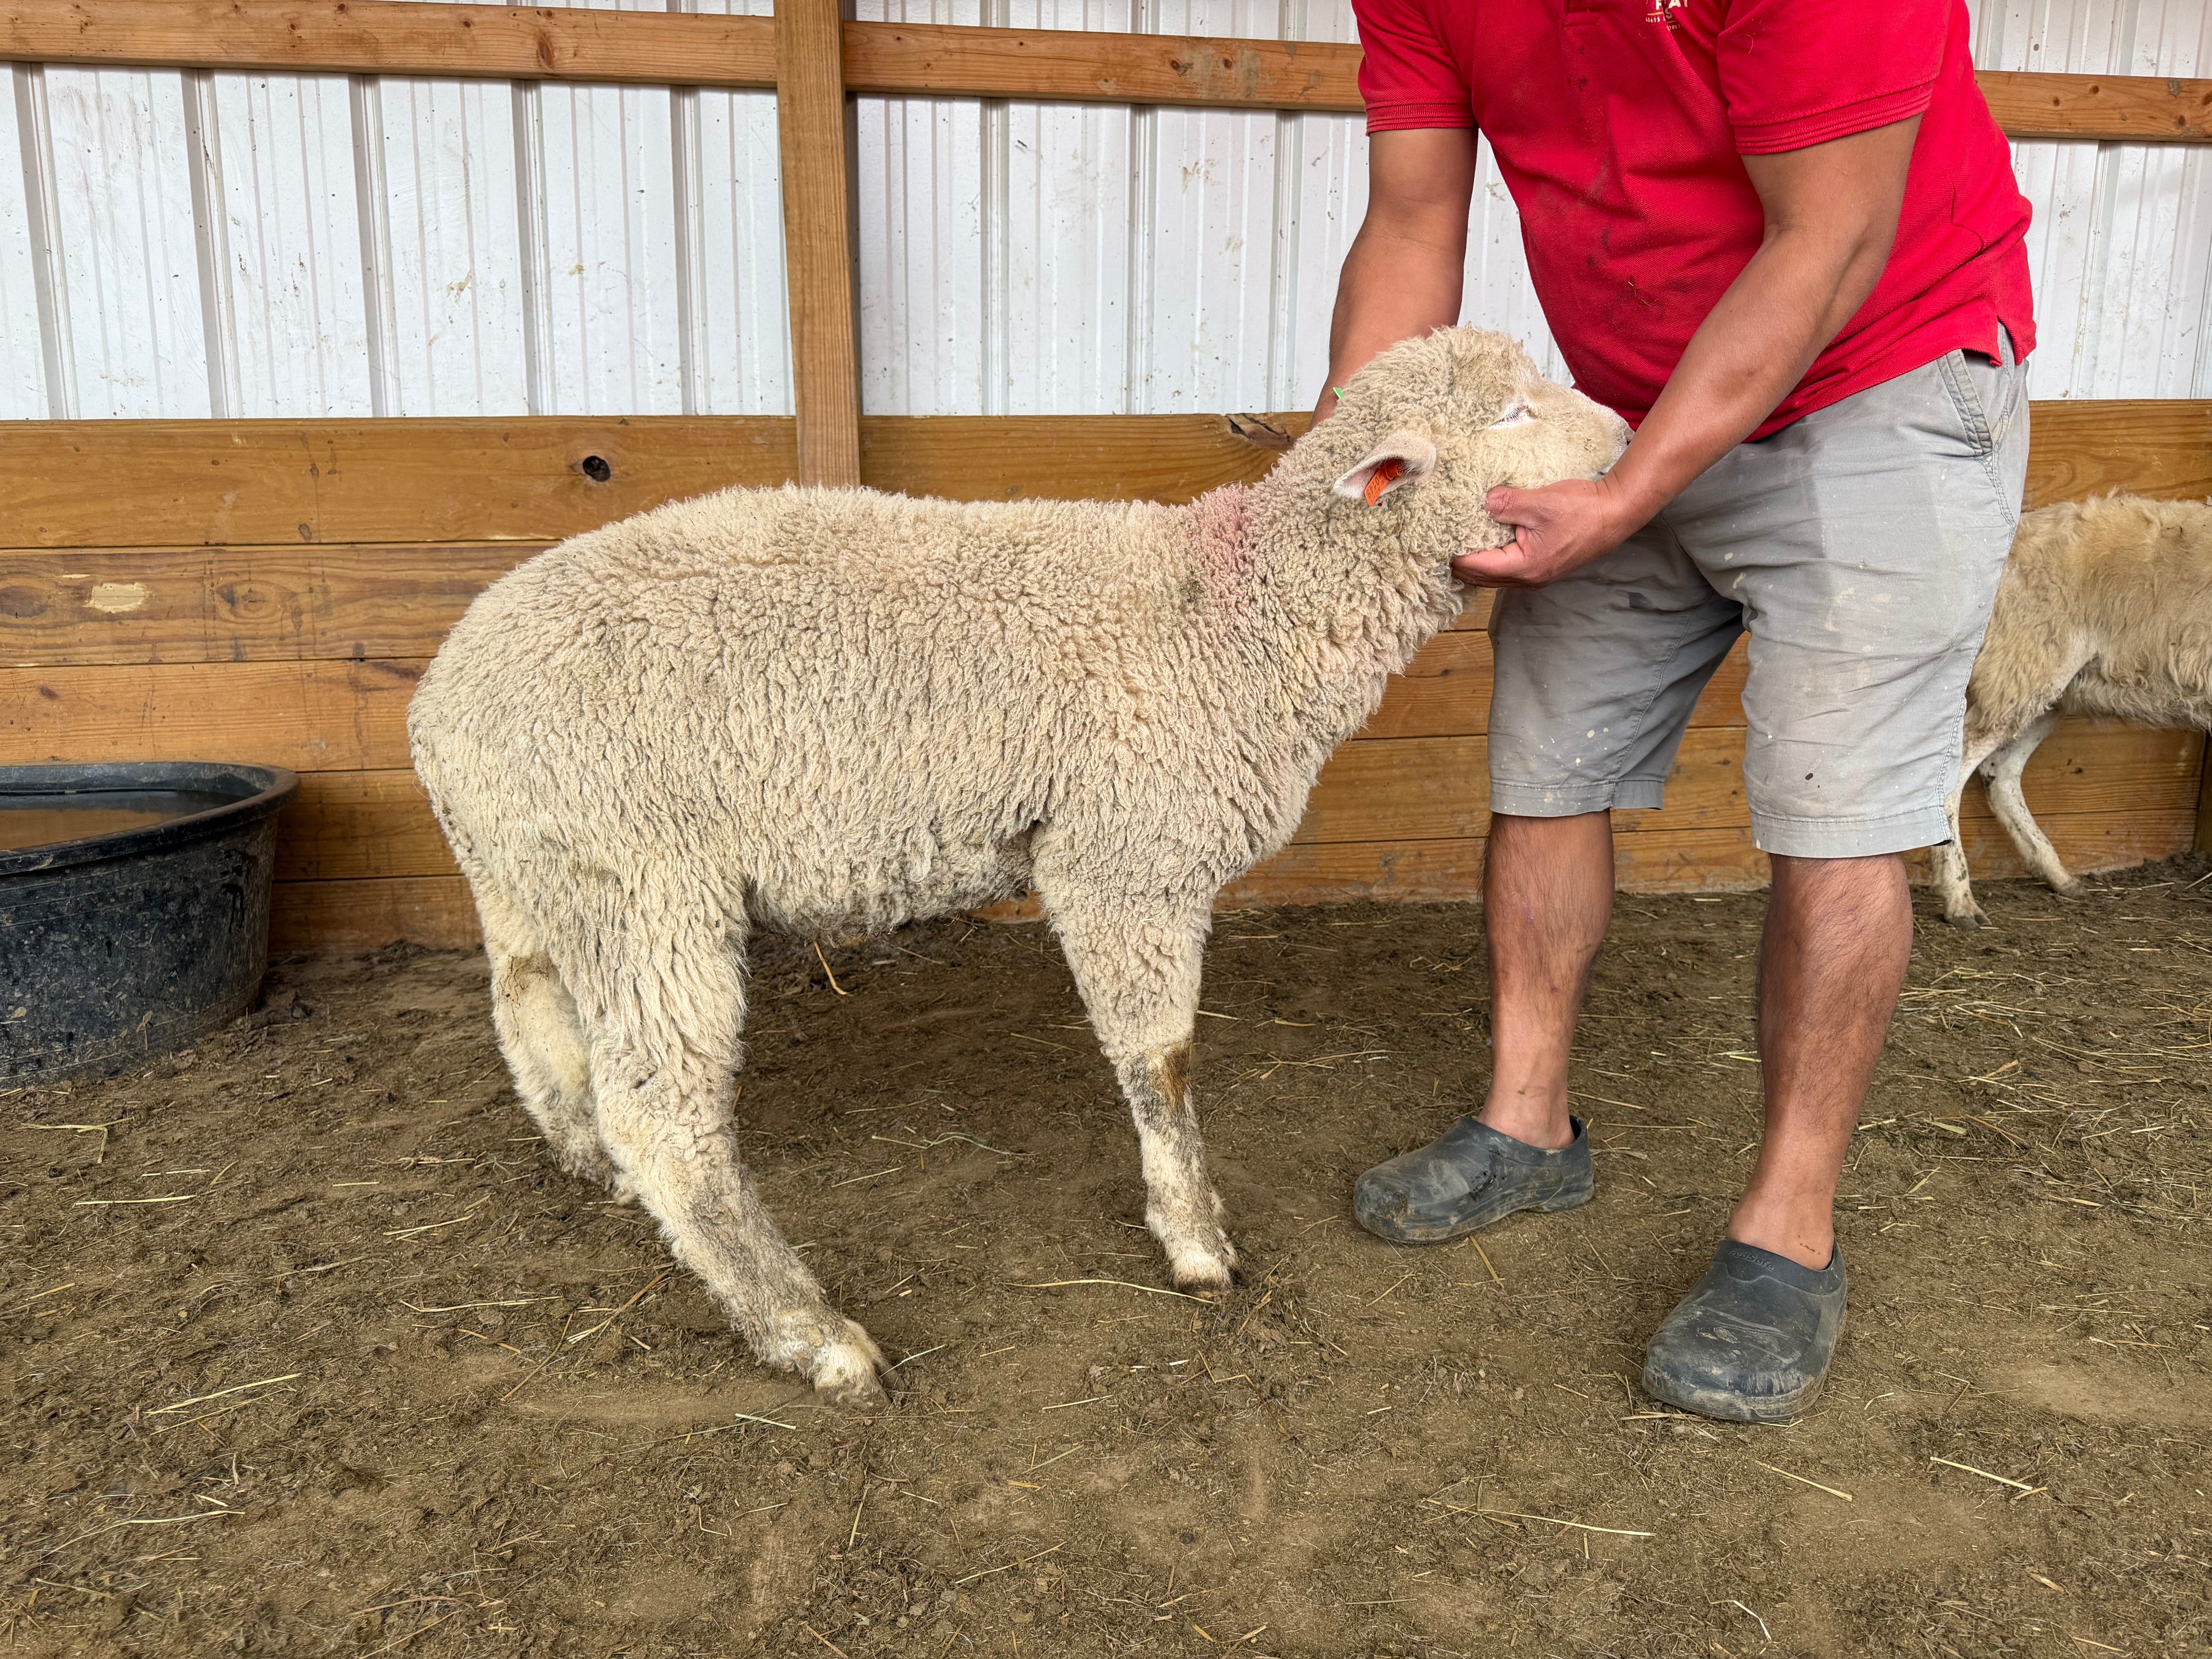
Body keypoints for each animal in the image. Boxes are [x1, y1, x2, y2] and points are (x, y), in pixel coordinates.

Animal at [409, 326, 1629, 1403]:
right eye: (1513, 414)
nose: (1625, 439)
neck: (1241, 615)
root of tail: (439, 701)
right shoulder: (1127, 860)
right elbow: (1163, 1067)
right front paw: (1196, 1241)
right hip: (640, 874)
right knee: (665, 1117)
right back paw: (812, 1334)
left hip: (533, 873)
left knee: (532, 1018)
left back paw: (594, 1168)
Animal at [1933, 494, 2212, 928]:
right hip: (2019, 662)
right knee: (1953, 773)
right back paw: (1961, 900)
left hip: (2047, 685)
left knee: (2001, 773)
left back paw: (2059, 876)